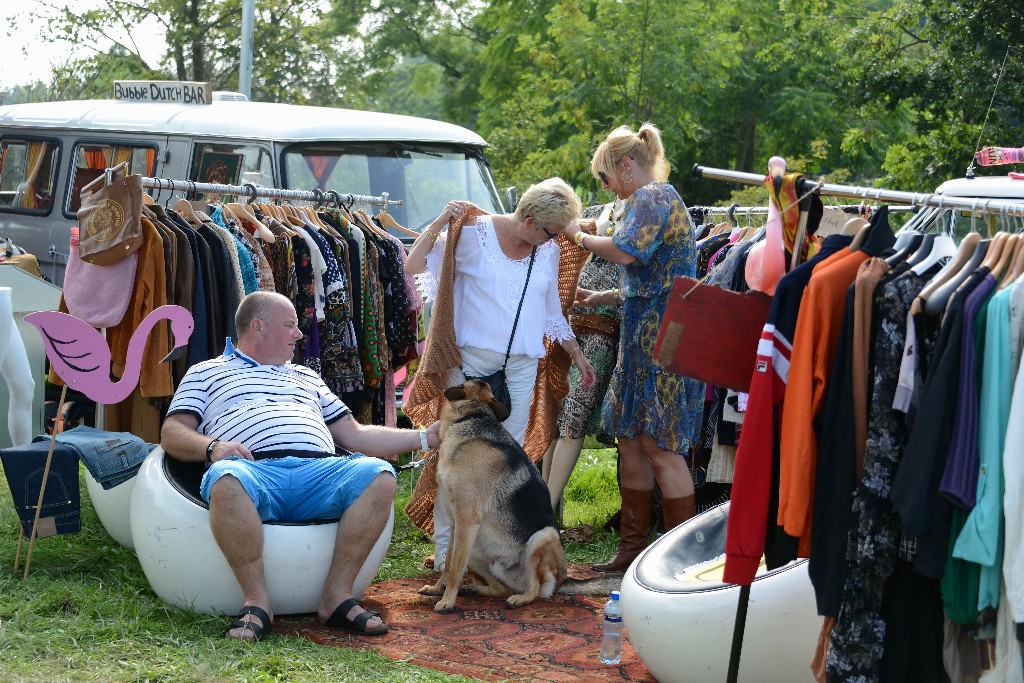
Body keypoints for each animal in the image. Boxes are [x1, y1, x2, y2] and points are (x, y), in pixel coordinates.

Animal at [419, 378, 573, 614]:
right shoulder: (456, 523)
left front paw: (447, 601)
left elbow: (455, 570)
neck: (474, 416)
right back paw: (476, 589)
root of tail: (564, 580)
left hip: (542, 536)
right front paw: (438, 589)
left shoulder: (467, 520)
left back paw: (520, 599)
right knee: (501, 588)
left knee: (535, 590)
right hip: (475, 550)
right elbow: (449, 562)